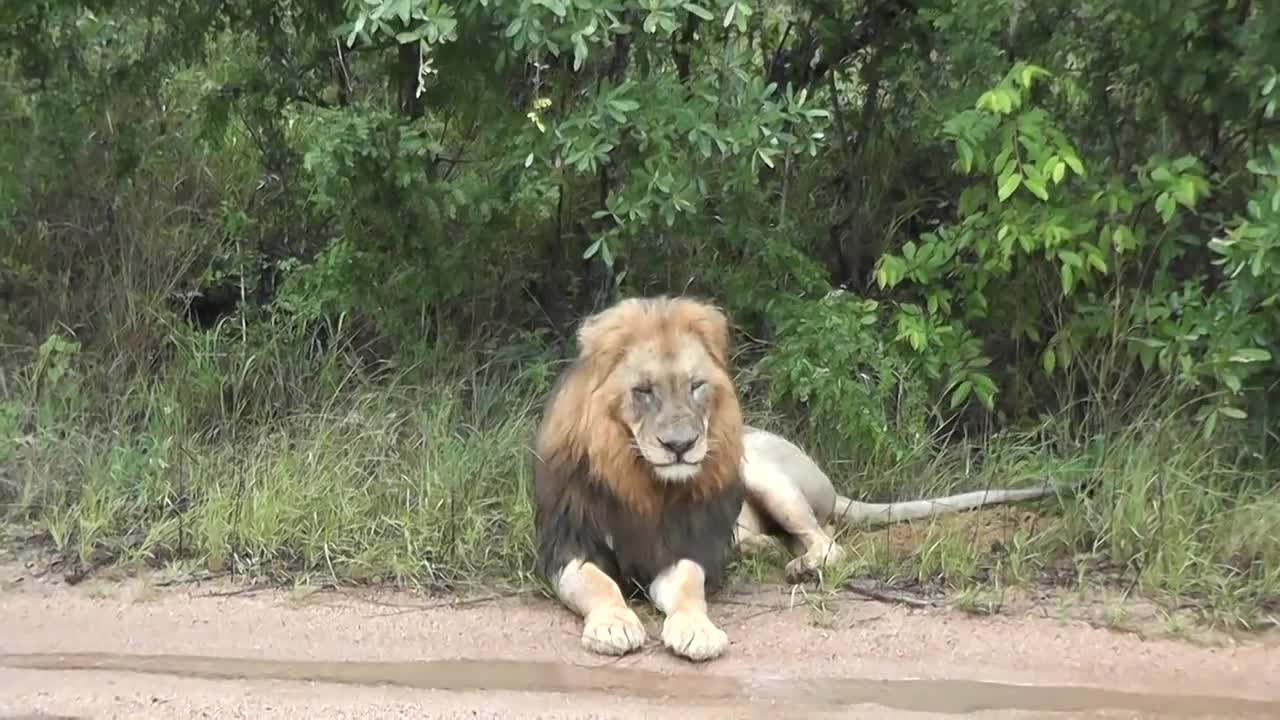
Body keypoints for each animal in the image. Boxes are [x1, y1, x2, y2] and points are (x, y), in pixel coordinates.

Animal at [532, 295, 1059, 661]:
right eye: (643, 391)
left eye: (696, 386)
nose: (681, 445)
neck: (640, 480)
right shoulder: (566, 546)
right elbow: (599, 584)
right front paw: (614, 625)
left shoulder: (683, 545)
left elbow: (688, 587)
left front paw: (697, 630)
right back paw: (760, 548)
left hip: (762, 471)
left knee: (827, 541)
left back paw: (802, 566)